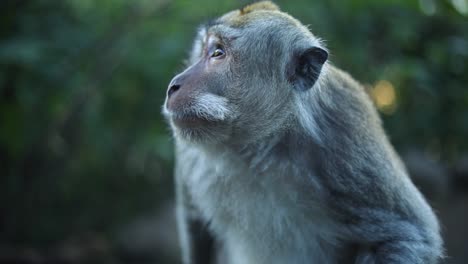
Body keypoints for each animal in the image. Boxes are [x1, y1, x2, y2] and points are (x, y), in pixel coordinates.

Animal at [164, 2, 442, 264]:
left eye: (218, 53)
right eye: (203, 51)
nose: (173, 85)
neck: (256, 147)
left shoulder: (345, 131)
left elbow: (407, 234)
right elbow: (195, 222)